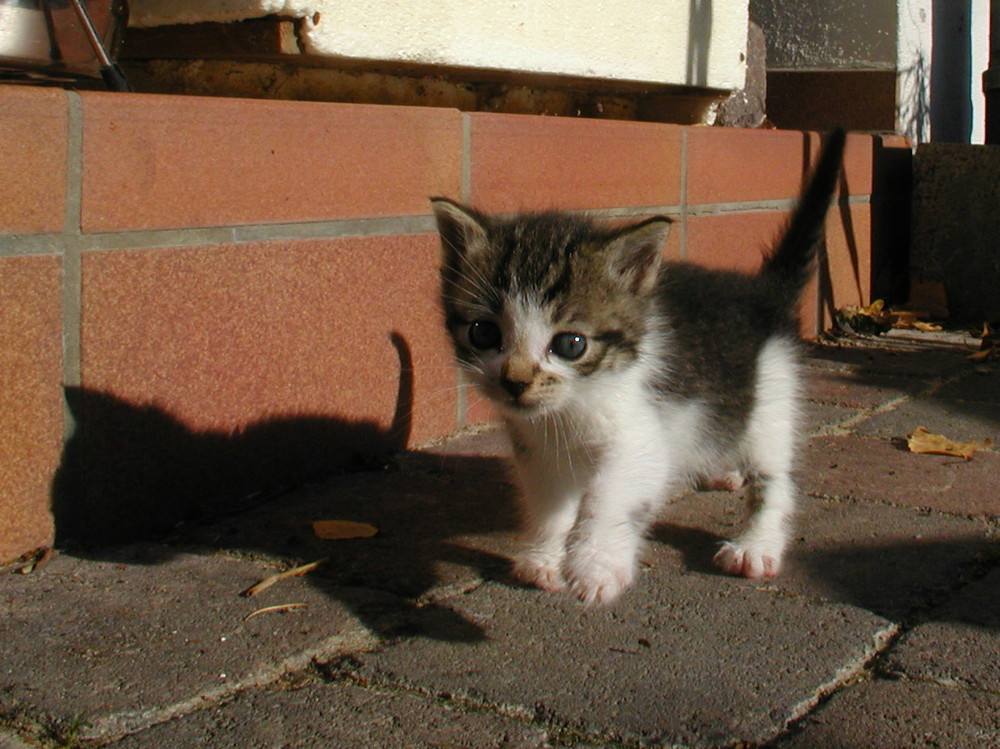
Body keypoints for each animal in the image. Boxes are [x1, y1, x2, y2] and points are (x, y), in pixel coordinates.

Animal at [430, 129, 844, 604]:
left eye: (570, 344)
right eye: (483, 333)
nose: (515, 382)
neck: (576, 404)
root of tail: (761, 294)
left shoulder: (642, 434)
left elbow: (610, 497)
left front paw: (596, 565)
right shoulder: (538, 447)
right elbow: (549, 501)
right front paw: (545, 558)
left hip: (772, 395)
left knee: (775, 477)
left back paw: (755, 545)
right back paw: (723, 471)